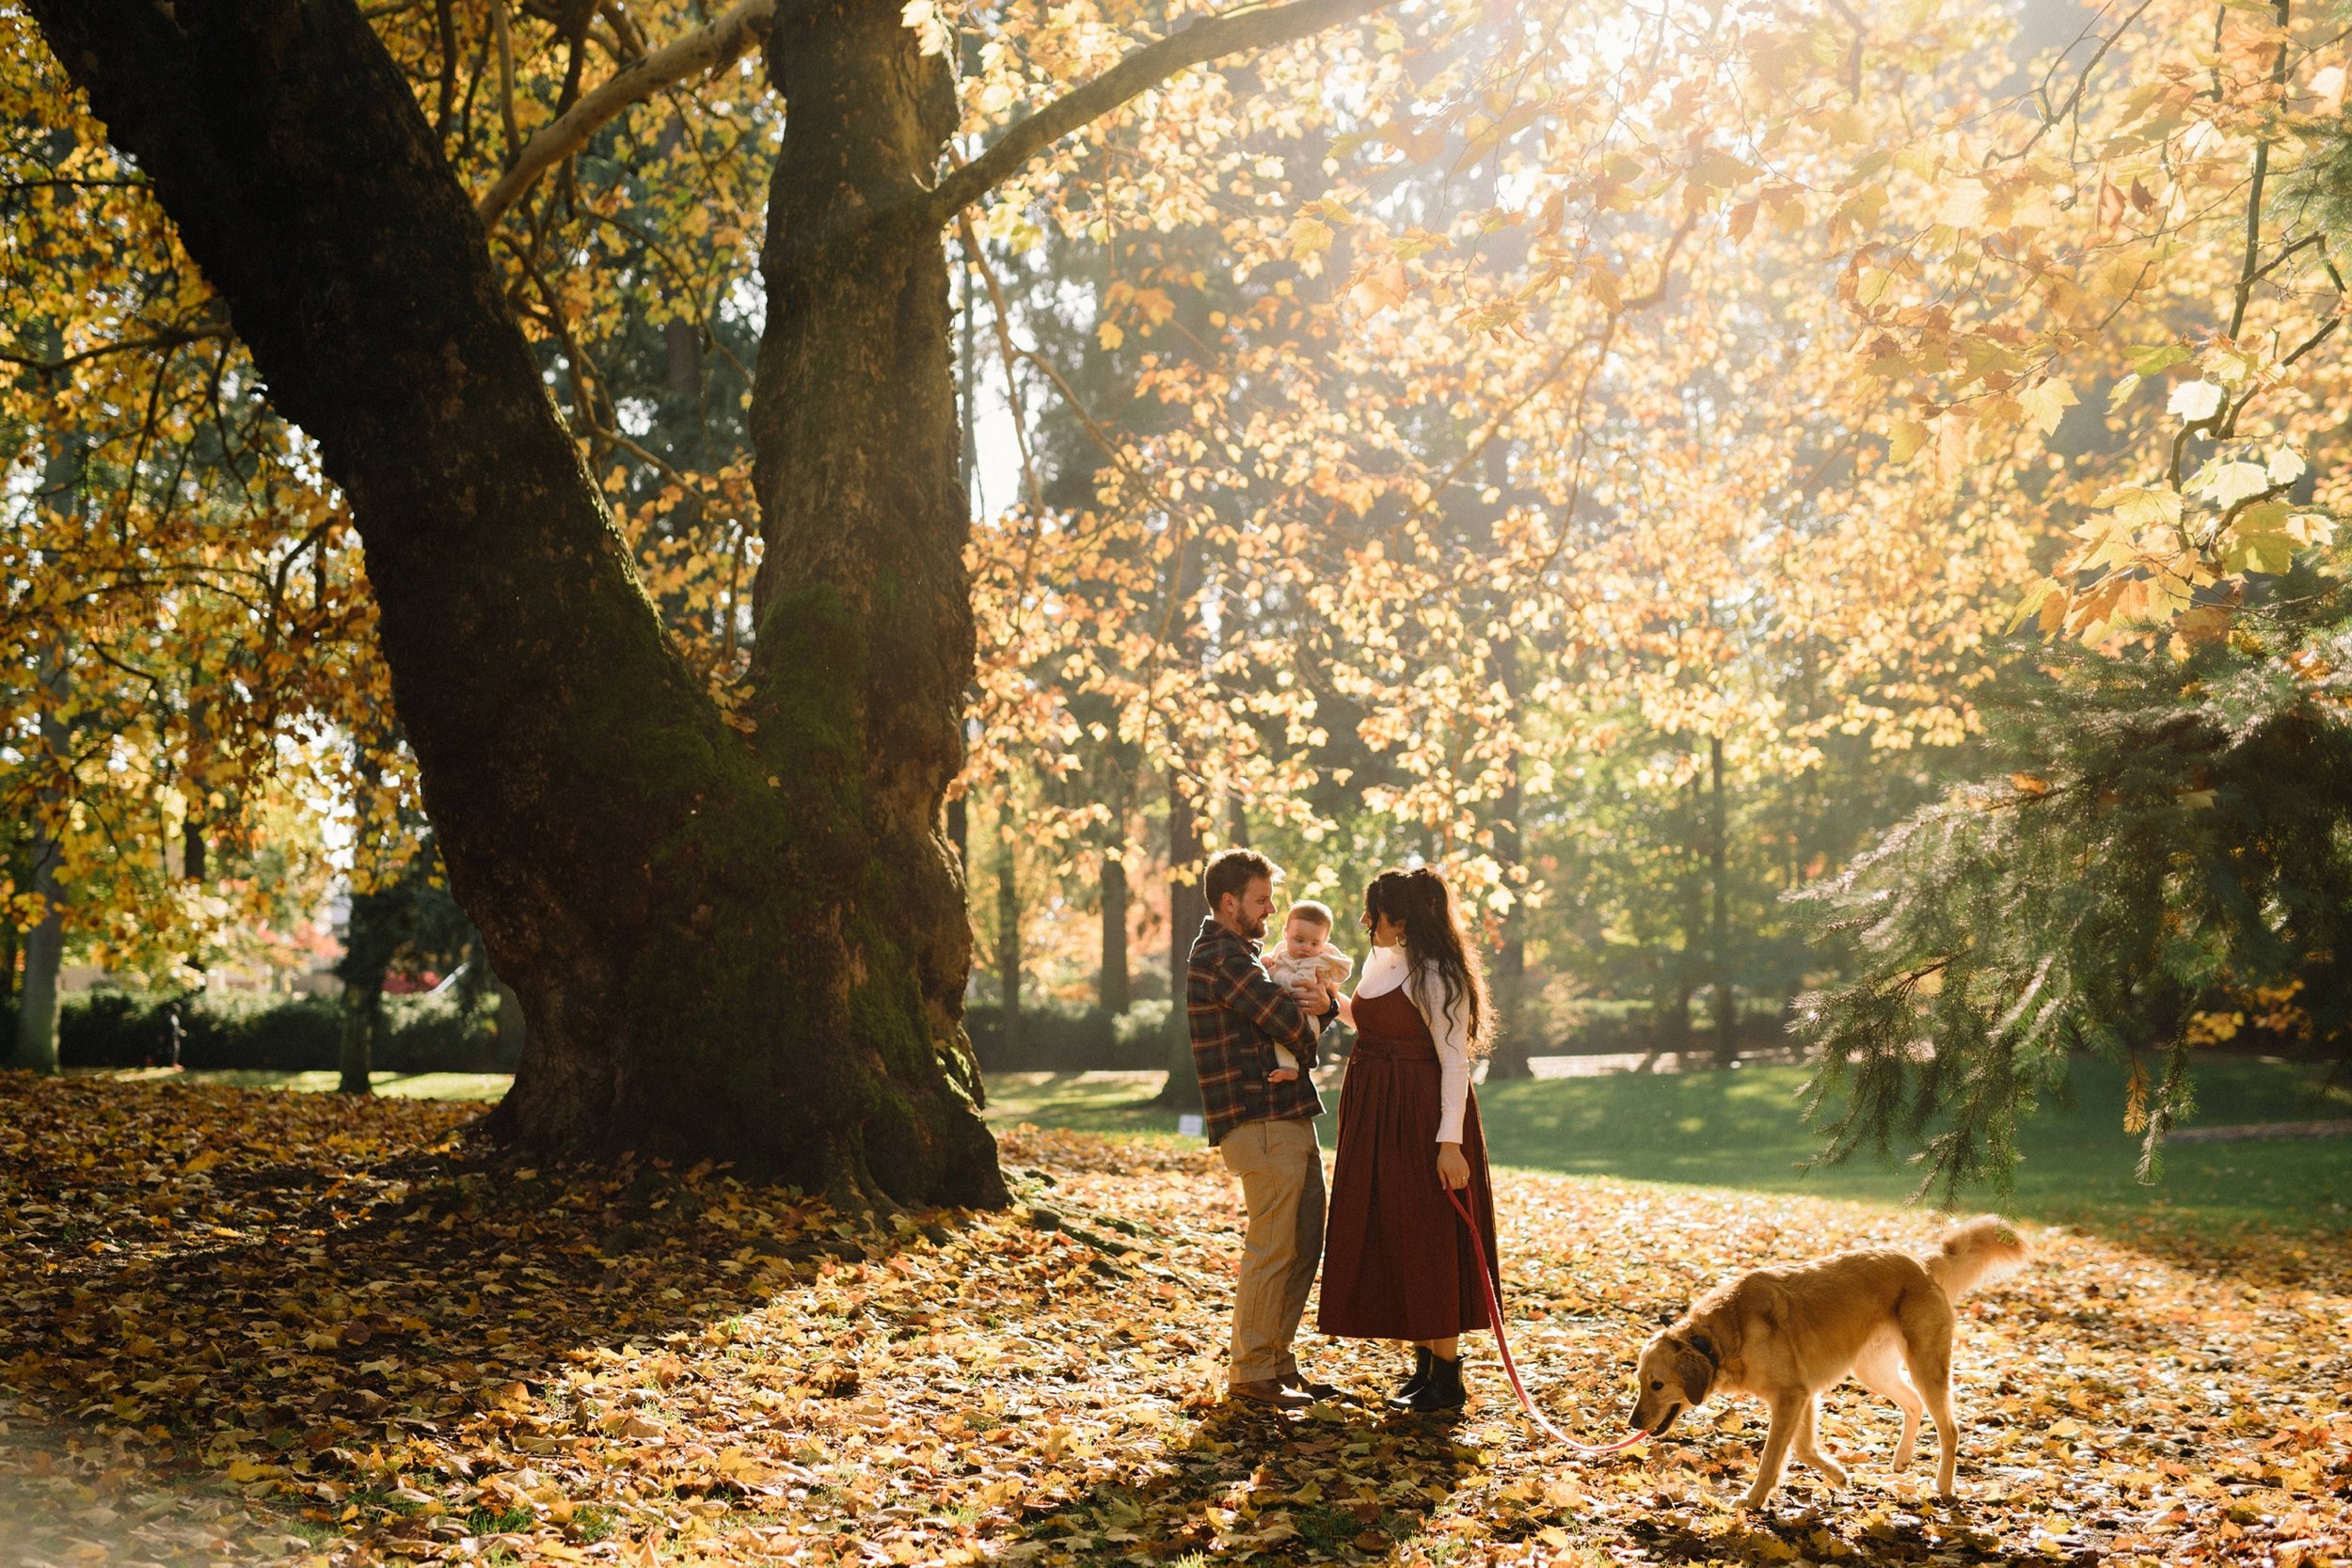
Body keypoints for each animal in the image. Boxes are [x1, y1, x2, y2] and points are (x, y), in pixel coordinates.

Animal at [1628, 1212, 2032, 1504]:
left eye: (1657, 1385)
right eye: (1640, 1383)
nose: (1633, 1423)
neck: (1720, 1336)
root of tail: (1920, 1264)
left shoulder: (1791, 1396)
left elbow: (1772, 1457)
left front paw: (1753, 1500)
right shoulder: (1803, 1395)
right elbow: (1804, 1449)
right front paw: (1839, 1476)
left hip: (1926, 1367)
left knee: (1950, 1428)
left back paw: (1944, 1487)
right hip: (1872, 1370)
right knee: (1913, 1404)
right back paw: (1902, 1458)